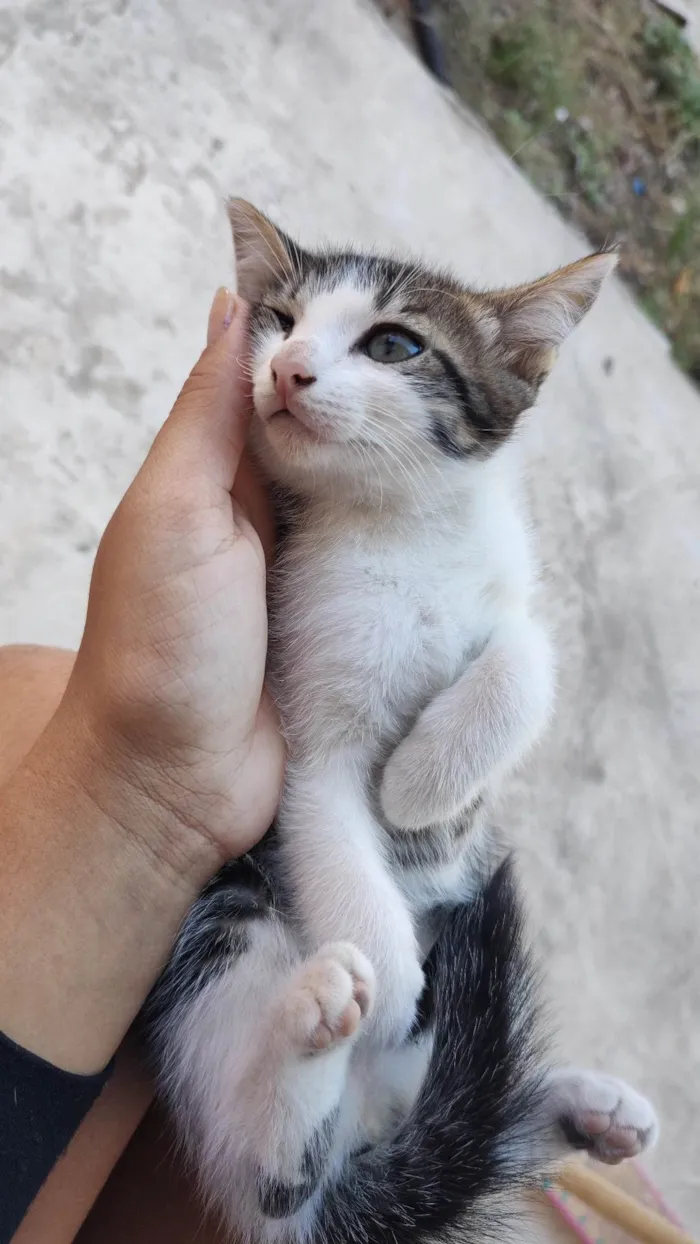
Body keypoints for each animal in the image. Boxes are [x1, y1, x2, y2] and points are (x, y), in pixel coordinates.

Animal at [146, 206, 656, 1244]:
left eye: (393, 345)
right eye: (281, 319)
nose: (287, 369)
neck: (401, 531)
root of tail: (376, 1126)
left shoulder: (507, 588)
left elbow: (528, 662)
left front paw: (424, 779)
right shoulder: (302, 717)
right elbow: (334, 831)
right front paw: (392, 977)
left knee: (477, 1116)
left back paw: (585, 1111)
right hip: (228, 918)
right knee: (279, 1186)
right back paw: (327, 1016)